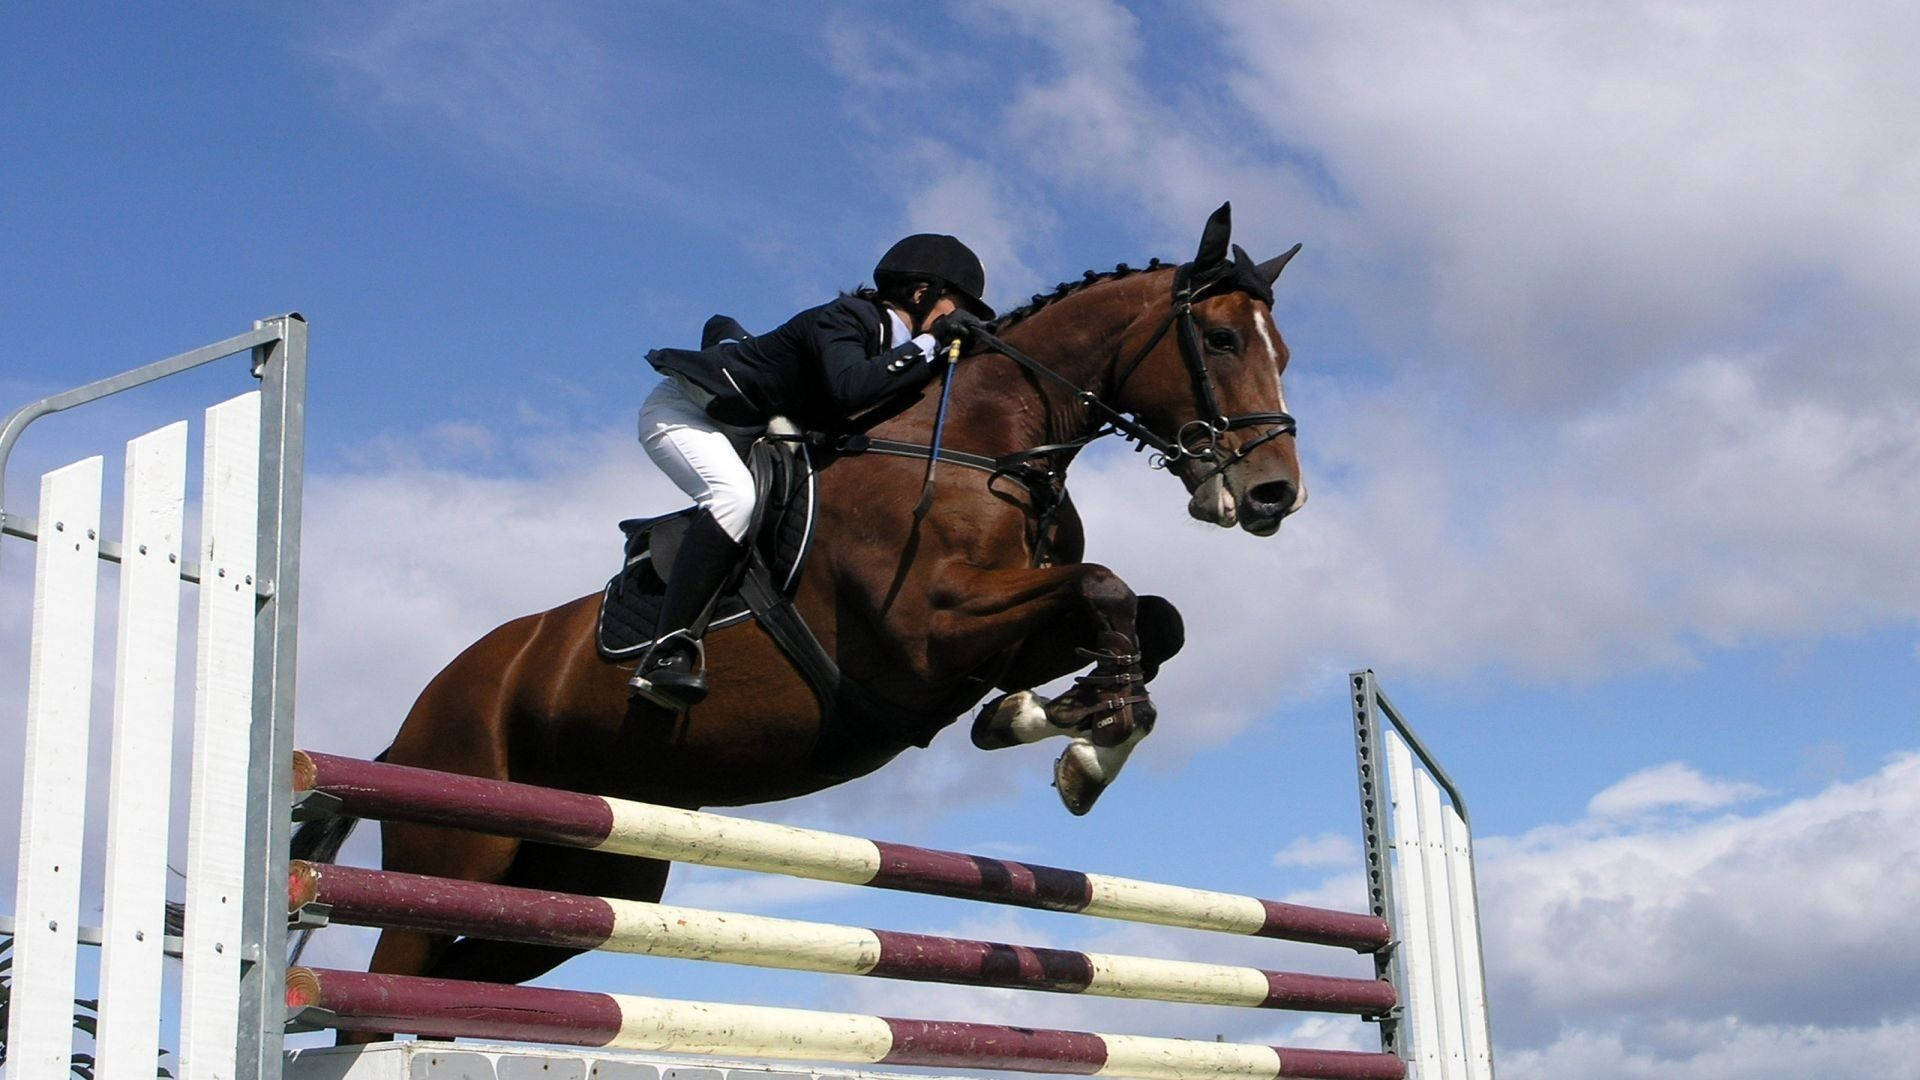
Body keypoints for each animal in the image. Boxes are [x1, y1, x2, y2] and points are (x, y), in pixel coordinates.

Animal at [307, 197, 1305, 1030]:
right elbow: (1106, 587)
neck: (989, 446)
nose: (1273, 495)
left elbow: (1153, 618)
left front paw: (1056, 723)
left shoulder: (998, 638)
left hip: (591, 873)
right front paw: (1082, 745)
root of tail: (411, 723)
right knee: (386, 981)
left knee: (471, 969)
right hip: (456, 847)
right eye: (1221, 340)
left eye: (1283, 354)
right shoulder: (926, 638)